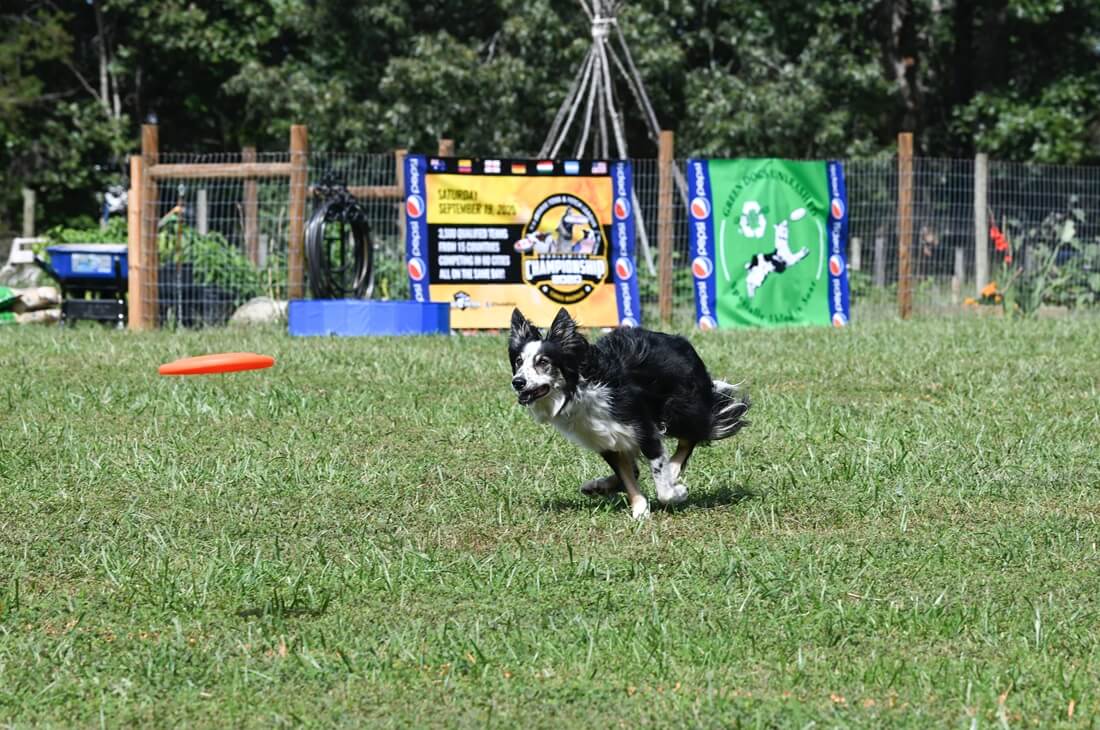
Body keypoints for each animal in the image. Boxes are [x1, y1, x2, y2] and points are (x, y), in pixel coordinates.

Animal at [506, 307, 748, 518]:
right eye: (519, 361)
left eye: (543, 362)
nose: (517, 382)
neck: (579, 388)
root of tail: (679, 340)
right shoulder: (605, 438)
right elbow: (627, 476)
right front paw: (640, 509)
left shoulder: (644, 428)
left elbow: (661, 485)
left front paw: (676, 492)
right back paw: (598, 486)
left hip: (681, 408)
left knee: (694, 435)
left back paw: (672, 470)